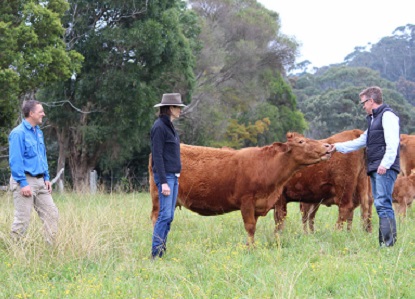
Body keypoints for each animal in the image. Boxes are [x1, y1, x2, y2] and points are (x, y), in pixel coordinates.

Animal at [150, 132, 332, 245]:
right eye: (301, 142)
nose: (328, 146)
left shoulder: (258, 205)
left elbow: (254, 228)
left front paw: (250, 245)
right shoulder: (246, 202)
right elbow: (250, 226)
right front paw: (251, 249)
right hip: (159, 198)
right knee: (156, 219)